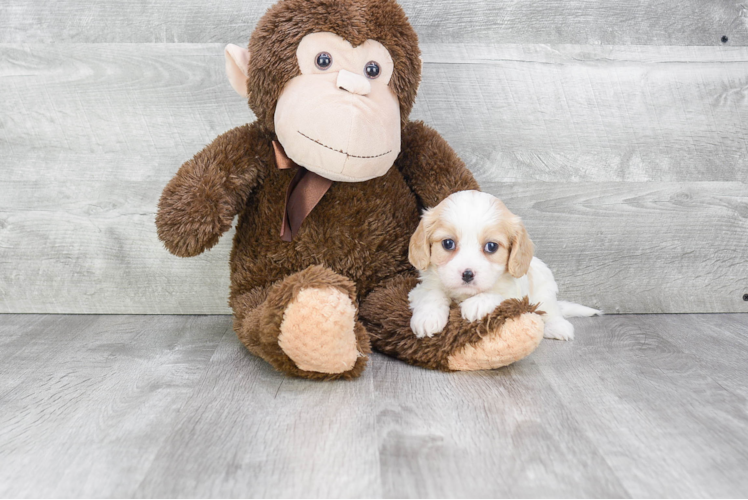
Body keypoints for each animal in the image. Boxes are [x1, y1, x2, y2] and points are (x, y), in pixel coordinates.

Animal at [406, 190, 600, 340]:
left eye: (491, 246)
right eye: (448, 244)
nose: (467, 274)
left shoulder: (516, 295)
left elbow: (499, 295)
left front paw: (476, 304)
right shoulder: (420, 289)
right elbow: (432, 293)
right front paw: (428, 317)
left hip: (544, 288)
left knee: (550, 310)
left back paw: (558, 326)